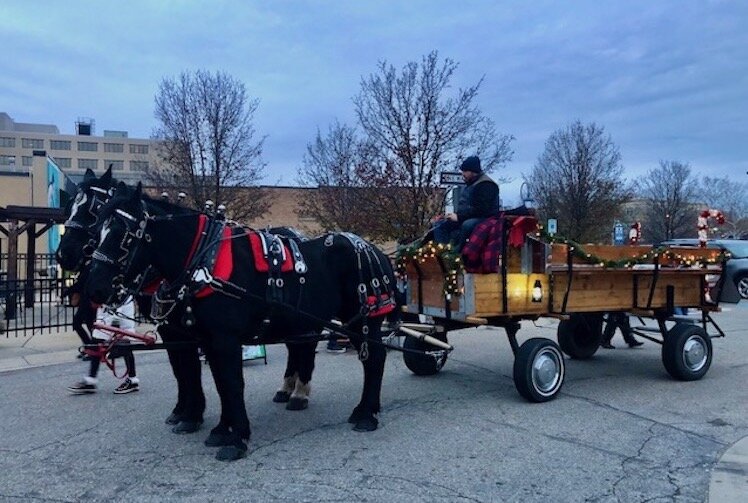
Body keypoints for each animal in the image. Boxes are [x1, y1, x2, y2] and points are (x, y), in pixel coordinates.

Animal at [84, 184, 394, 460]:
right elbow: (217, 382)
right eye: (96, 231)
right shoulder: (206, 339)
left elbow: (231, 384)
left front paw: (236, 438)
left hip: (363, 321)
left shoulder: (223, 339)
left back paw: (365, 413)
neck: (204, 261)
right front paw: (221, 429)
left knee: (374, 359)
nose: (94, 289)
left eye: (124, 235)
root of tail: (373, 249)